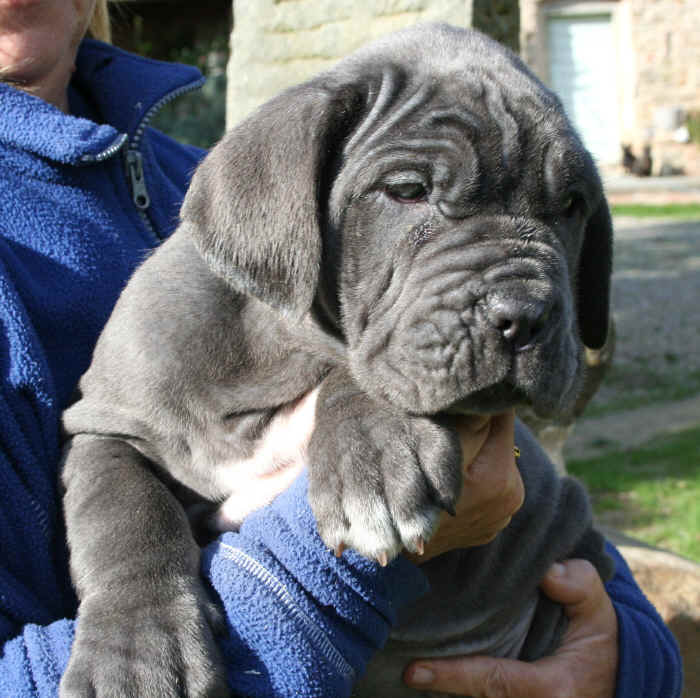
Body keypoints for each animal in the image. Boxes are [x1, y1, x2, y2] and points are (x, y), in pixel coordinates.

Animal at [63, 21, 616, 696]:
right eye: (407, 192)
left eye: (573, 206)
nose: (526, 313)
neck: (278, 348)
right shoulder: (109, 425)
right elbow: (124, 519)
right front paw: (139, 652)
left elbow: (357, 376)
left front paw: (374, 453)